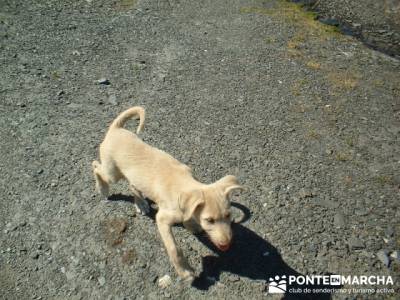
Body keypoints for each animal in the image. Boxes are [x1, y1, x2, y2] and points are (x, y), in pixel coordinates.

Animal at [93, 106, 244, 282]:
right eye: (209, 220)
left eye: (228, 215)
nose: (227, 243)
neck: (185, 185)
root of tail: (115, 129)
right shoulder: (163, 219)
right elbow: (174, 249)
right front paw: (184, 271)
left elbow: (189, 219)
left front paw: (191, 225)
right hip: (112, 173)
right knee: (96, 166)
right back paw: (102, 188)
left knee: (132, 184)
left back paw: (141, 203)